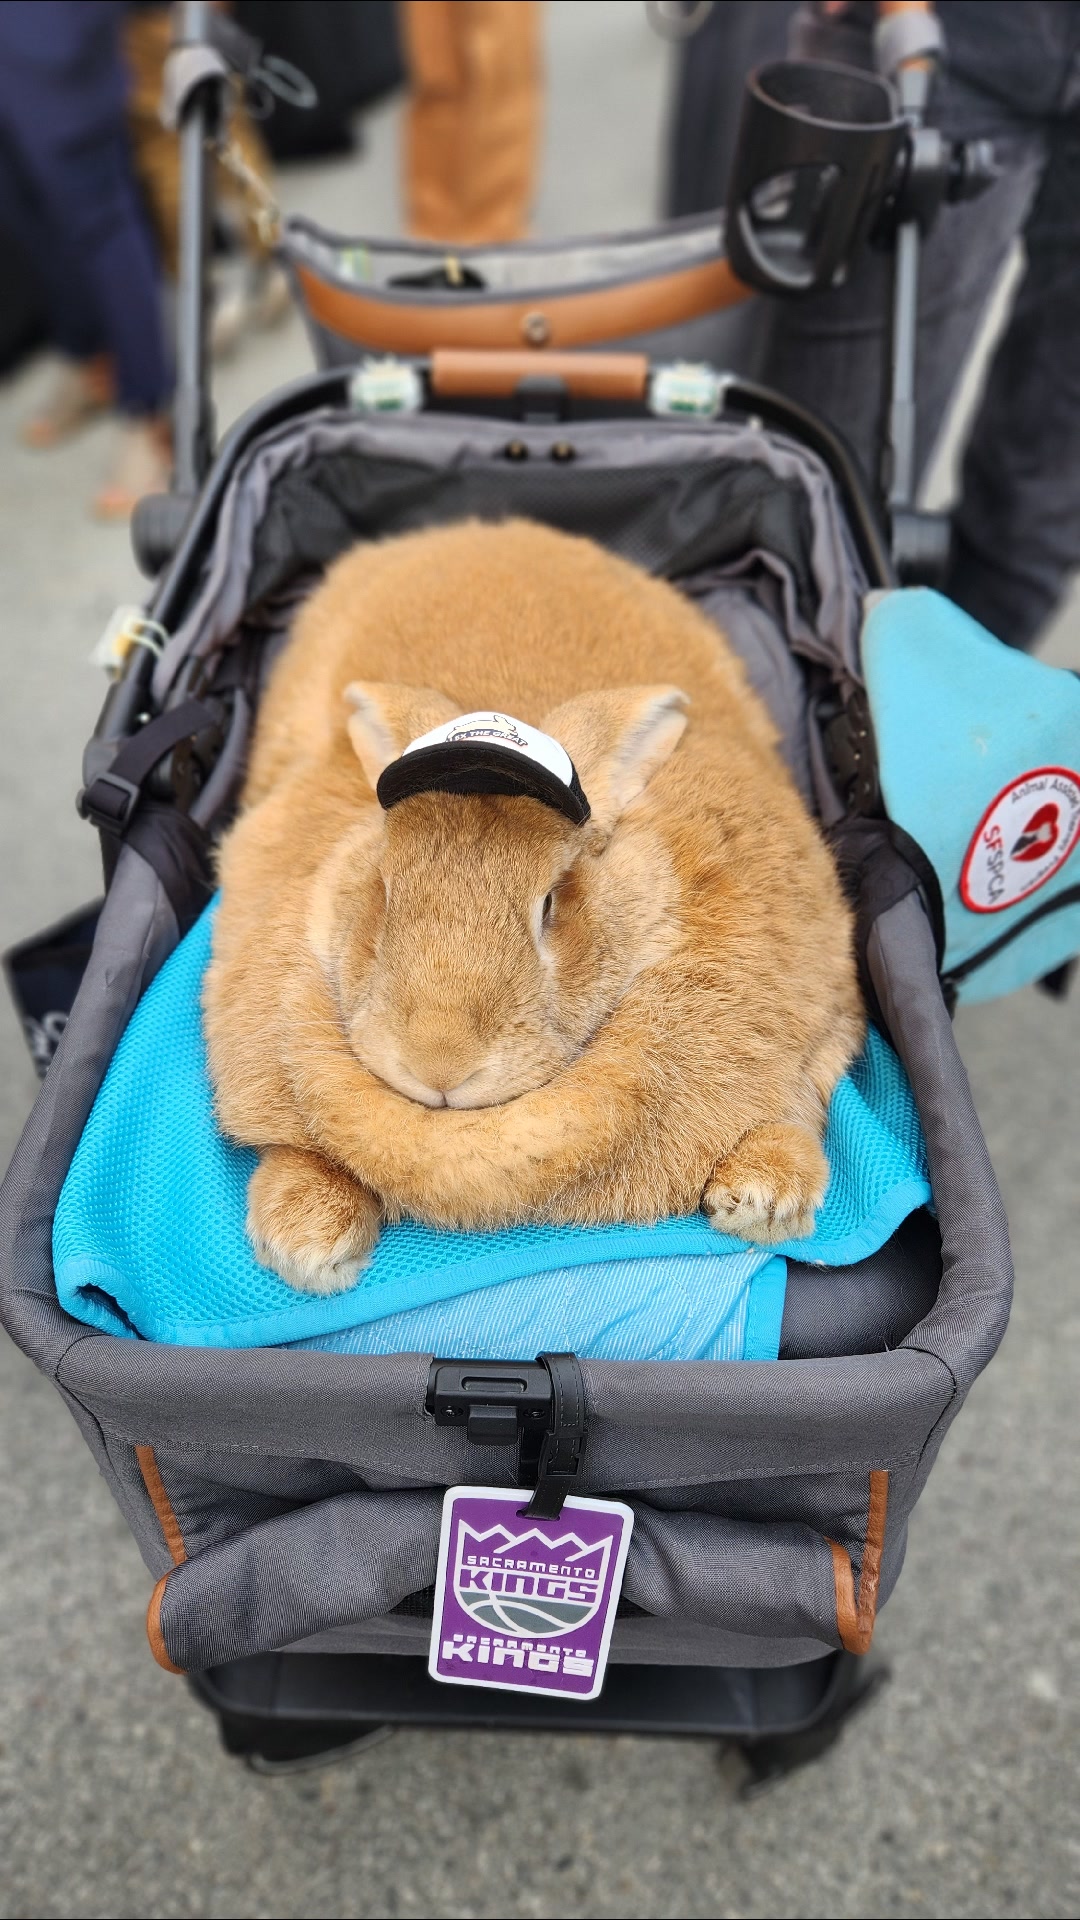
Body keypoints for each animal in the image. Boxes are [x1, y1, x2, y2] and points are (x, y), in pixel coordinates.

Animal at [204, 518, 864, 1293]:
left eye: (552, 904)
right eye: (384, 890)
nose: (438, 1066)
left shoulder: (818, 1000)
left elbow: (801, 1099)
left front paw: (763, 1198)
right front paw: (309, 1243)